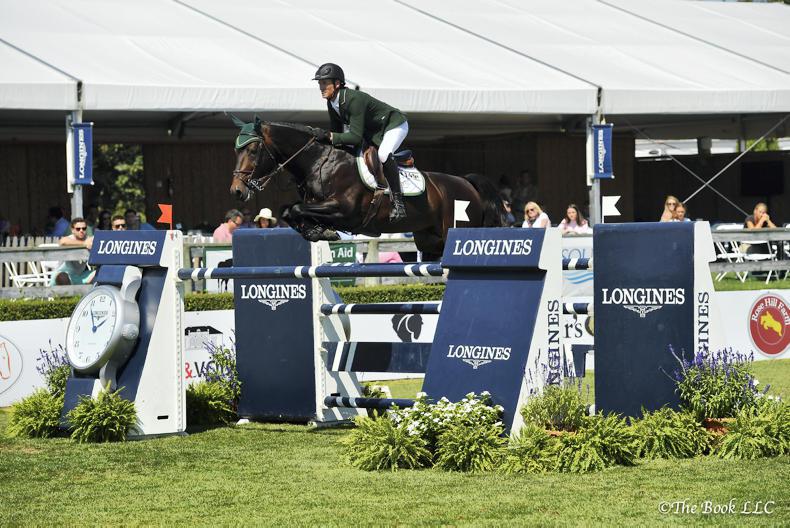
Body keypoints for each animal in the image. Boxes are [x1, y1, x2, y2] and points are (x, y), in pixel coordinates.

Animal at [230, 117, 505, 260]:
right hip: (429, 240)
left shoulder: (344, 211)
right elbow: (288, 210)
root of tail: (467, 183)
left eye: (252, 151)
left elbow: (296, 208)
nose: (236, 192)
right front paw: (317, 231)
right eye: (236, 150)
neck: (319, 162)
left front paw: (321, 231)